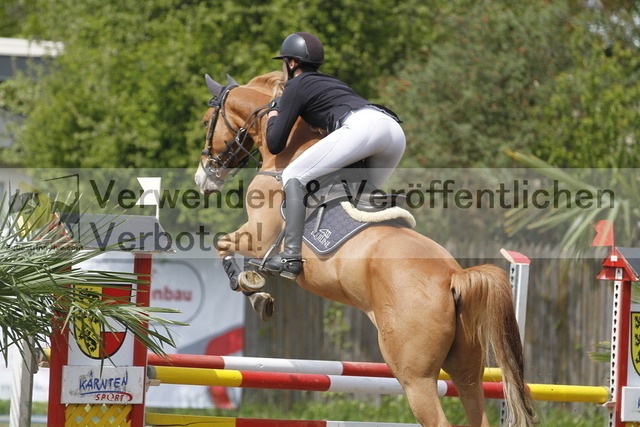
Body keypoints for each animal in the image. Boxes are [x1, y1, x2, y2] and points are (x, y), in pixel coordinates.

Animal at [194, 71, 537, 427]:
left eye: (206, 121)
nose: (203, 179)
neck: (290, 151)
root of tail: (453, 276)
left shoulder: (259, 236)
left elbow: (222, 245)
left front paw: (254, 289)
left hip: (414, 375)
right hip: (466, 367)